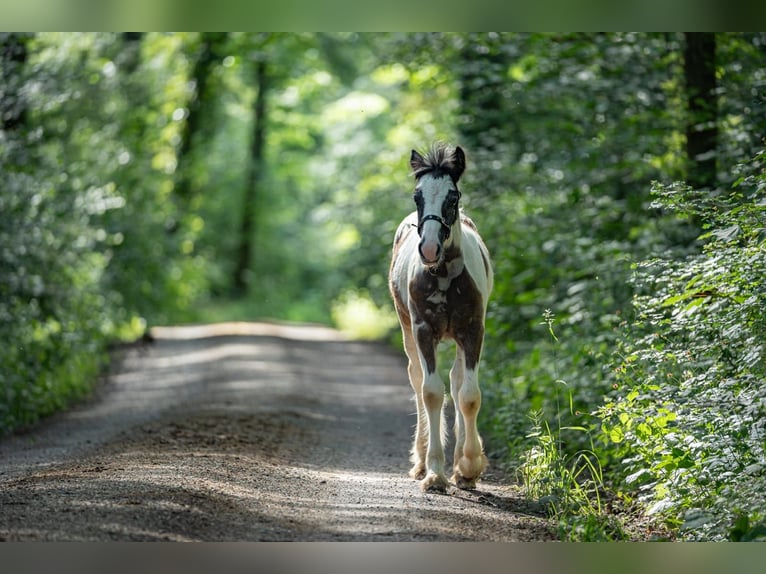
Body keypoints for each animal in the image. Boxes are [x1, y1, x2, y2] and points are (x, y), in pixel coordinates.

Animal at [392, 144, 496, 496]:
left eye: (453, 196)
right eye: (417, 197)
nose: (429, 248)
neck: (445, 276)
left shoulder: (473, 330)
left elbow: (469, 395)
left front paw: (469, 466)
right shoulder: (424, 331)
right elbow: (432, 392)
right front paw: (435, 472)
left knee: (457, 380)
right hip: (407, 328)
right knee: (417, 378)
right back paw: (421, 460)